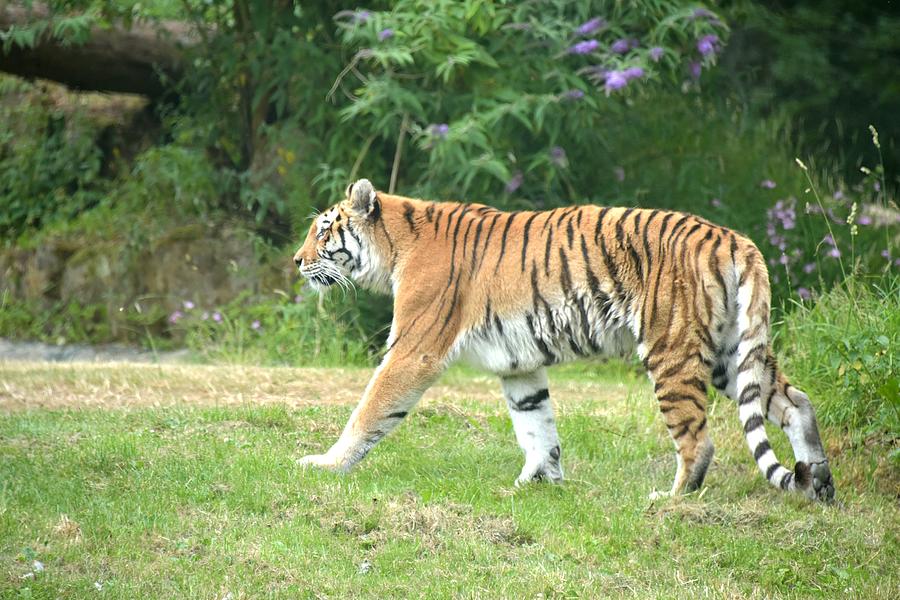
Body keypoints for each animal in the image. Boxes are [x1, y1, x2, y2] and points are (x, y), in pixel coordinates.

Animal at [294, 178, 836, 502]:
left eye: (323, 231)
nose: (297, 261)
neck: (393, 247)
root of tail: (735, 239)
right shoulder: (518, 363)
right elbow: (536, 425)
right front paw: (536, 482)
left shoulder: (413, 348)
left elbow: (369, 409)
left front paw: (326, 463)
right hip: (732, 354)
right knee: (796, 401)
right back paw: (818, 480)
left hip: (672, 350)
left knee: (697, 439)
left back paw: (672, 497)